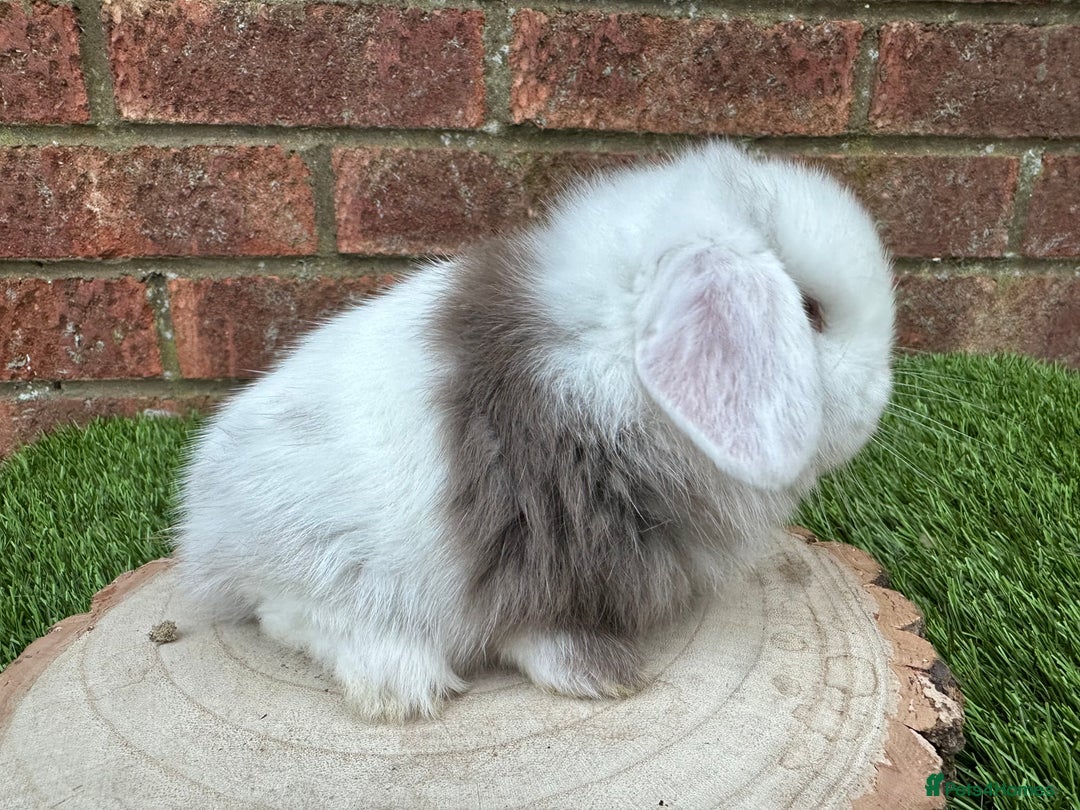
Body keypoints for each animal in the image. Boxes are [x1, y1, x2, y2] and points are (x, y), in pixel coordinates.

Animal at [173, 141, 894, 721]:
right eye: (810, 312)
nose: (879, 402)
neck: (607, 359)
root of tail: (202, 520)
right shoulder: (540, 556)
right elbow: (535, 631)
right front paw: (603, 676)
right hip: (315, 560)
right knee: (291, 617)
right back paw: (403, 683)